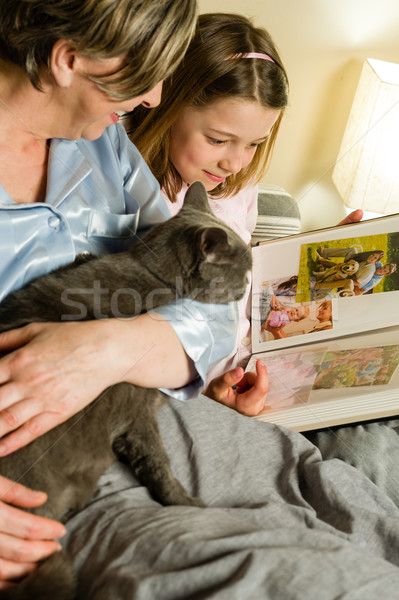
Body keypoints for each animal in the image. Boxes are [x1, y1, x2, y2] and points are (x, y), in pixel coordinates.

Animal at [0, 183, 252, 600]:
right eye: (243, 271)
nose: (249, 285)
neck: (150, 271)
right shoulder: (137, 412)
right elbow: (159, 463)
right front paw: (186, 503)